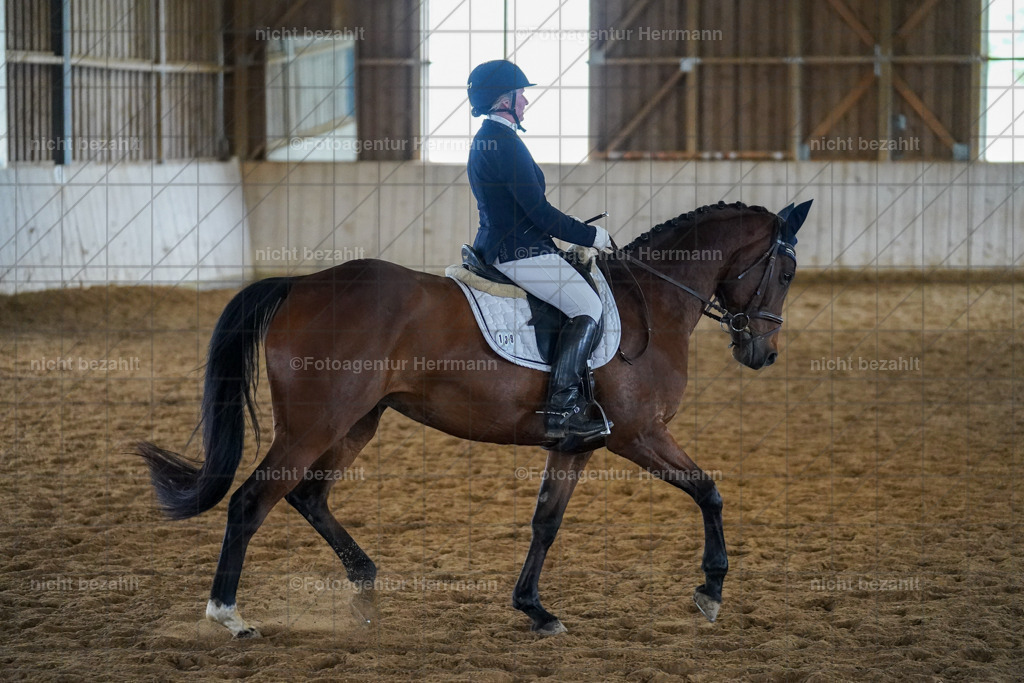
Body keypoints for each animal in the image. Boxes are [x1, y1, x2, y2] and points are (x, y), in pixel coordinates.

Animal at [135, 199, 810, 638]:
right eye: (786, 271)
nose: (764, 354)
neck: (656, 301)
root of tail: (301, 284)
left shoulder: (577, 444)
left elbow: (545, 523)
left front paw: (534, 608)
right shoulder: (640, 435)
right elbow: (709, 491)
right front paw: (711, 591)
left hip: (357, 422)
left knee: (308, 496)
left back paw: (365, 586)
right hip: (313, 425)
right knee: (253, 502)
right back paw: (229, 616)